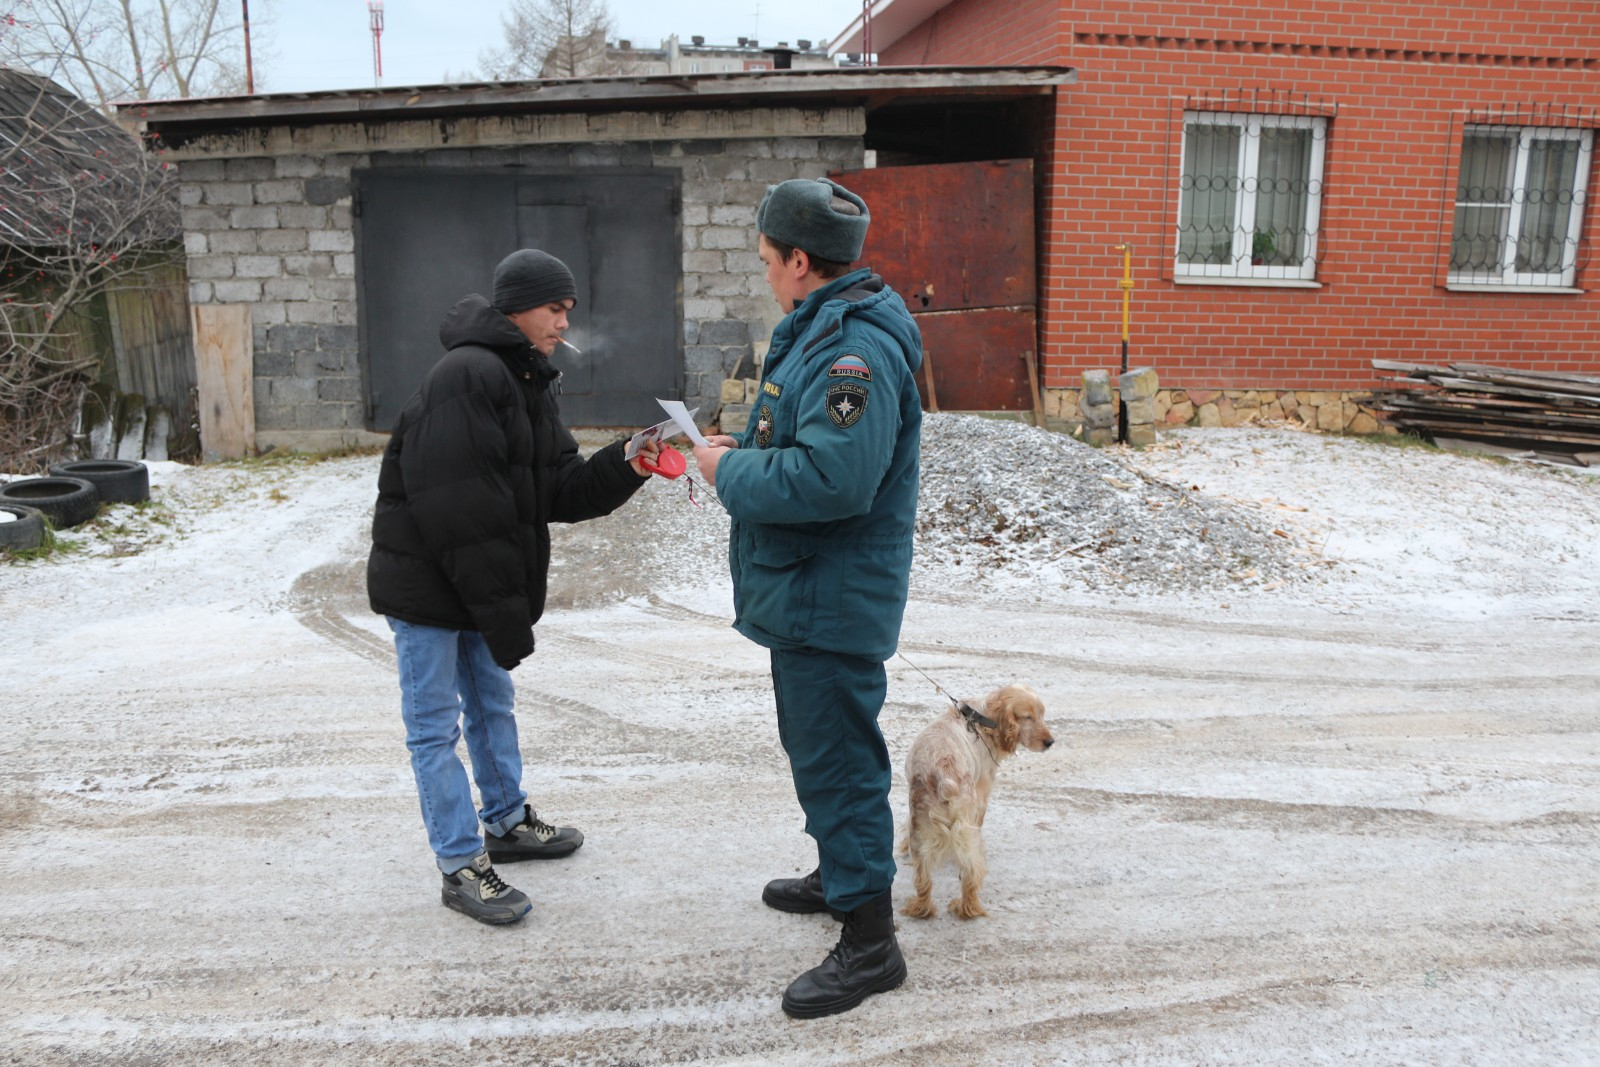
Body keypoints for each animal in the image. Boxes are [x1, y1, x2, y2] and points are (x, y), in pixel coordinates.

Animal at [902, 687, 1049, 921]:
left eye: (1042, 714)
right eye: (1027, 717)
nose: (1050, 742)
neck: (983, 719)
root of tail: (944, 778)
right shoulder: (981, 797)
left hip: (920, 829)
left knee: (923, 878)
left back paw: (921, 908)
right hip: (964, 824)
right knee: (971, 872)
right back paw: (968, 908)